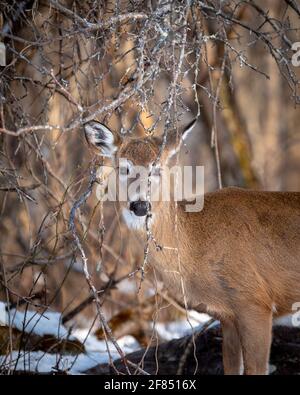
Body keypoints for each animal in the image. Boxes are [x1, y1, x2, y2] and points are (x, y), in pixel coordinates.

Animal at [84, 119, 300, 376]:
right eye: (123, 168)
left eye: (157, 169)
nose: (140, 206)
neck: (197, 245)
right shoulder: (227, 316)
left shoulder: (255, 301)